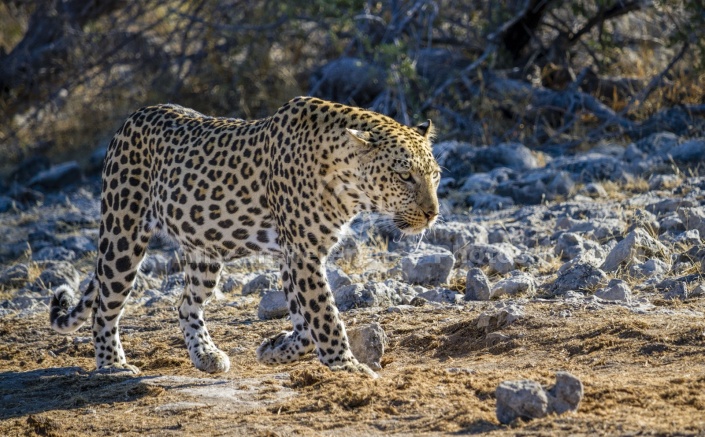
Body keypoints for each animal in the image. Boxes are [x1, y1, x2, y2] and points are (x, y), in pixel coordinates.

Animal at [51, 95, 440, 374]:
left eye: (434, 174)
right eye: (404, 176)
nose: (432, 213)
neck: (346, 181)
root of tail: (133, 116)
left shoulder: (292, 256)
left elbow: (305, 322)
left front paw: (274, 349)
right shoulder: (303, 254)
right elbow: (325, 315)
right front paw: (347, 367)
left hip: (205, 252)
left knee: (185, 303)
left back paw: (206, 355)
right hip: (122, 235)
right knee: (104, 306)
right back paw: (112, 365)